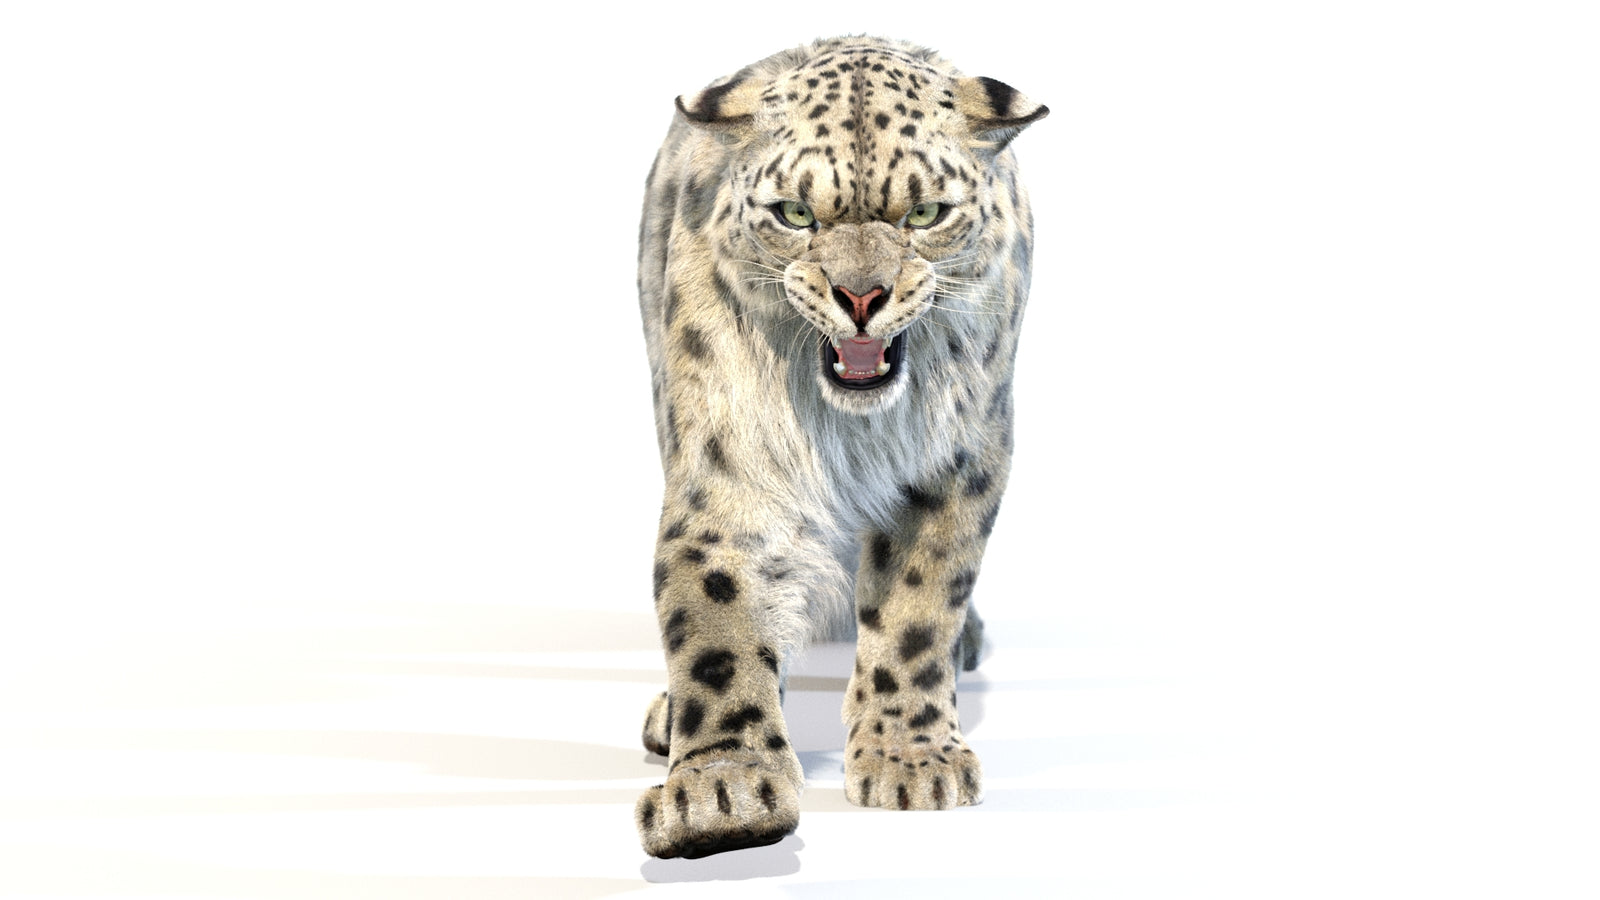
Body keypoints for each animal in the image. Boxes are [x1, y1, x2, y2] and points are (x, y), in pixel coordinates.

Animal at [632, 35, 1046, 859]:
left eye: (925, 213)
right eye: (795, 214)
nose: (860, 297)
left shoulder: (955, 463)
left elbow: (918, 608)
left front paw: (910, 760)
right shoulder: (730, 472)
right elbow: (718, 624)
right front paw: (722, 792)